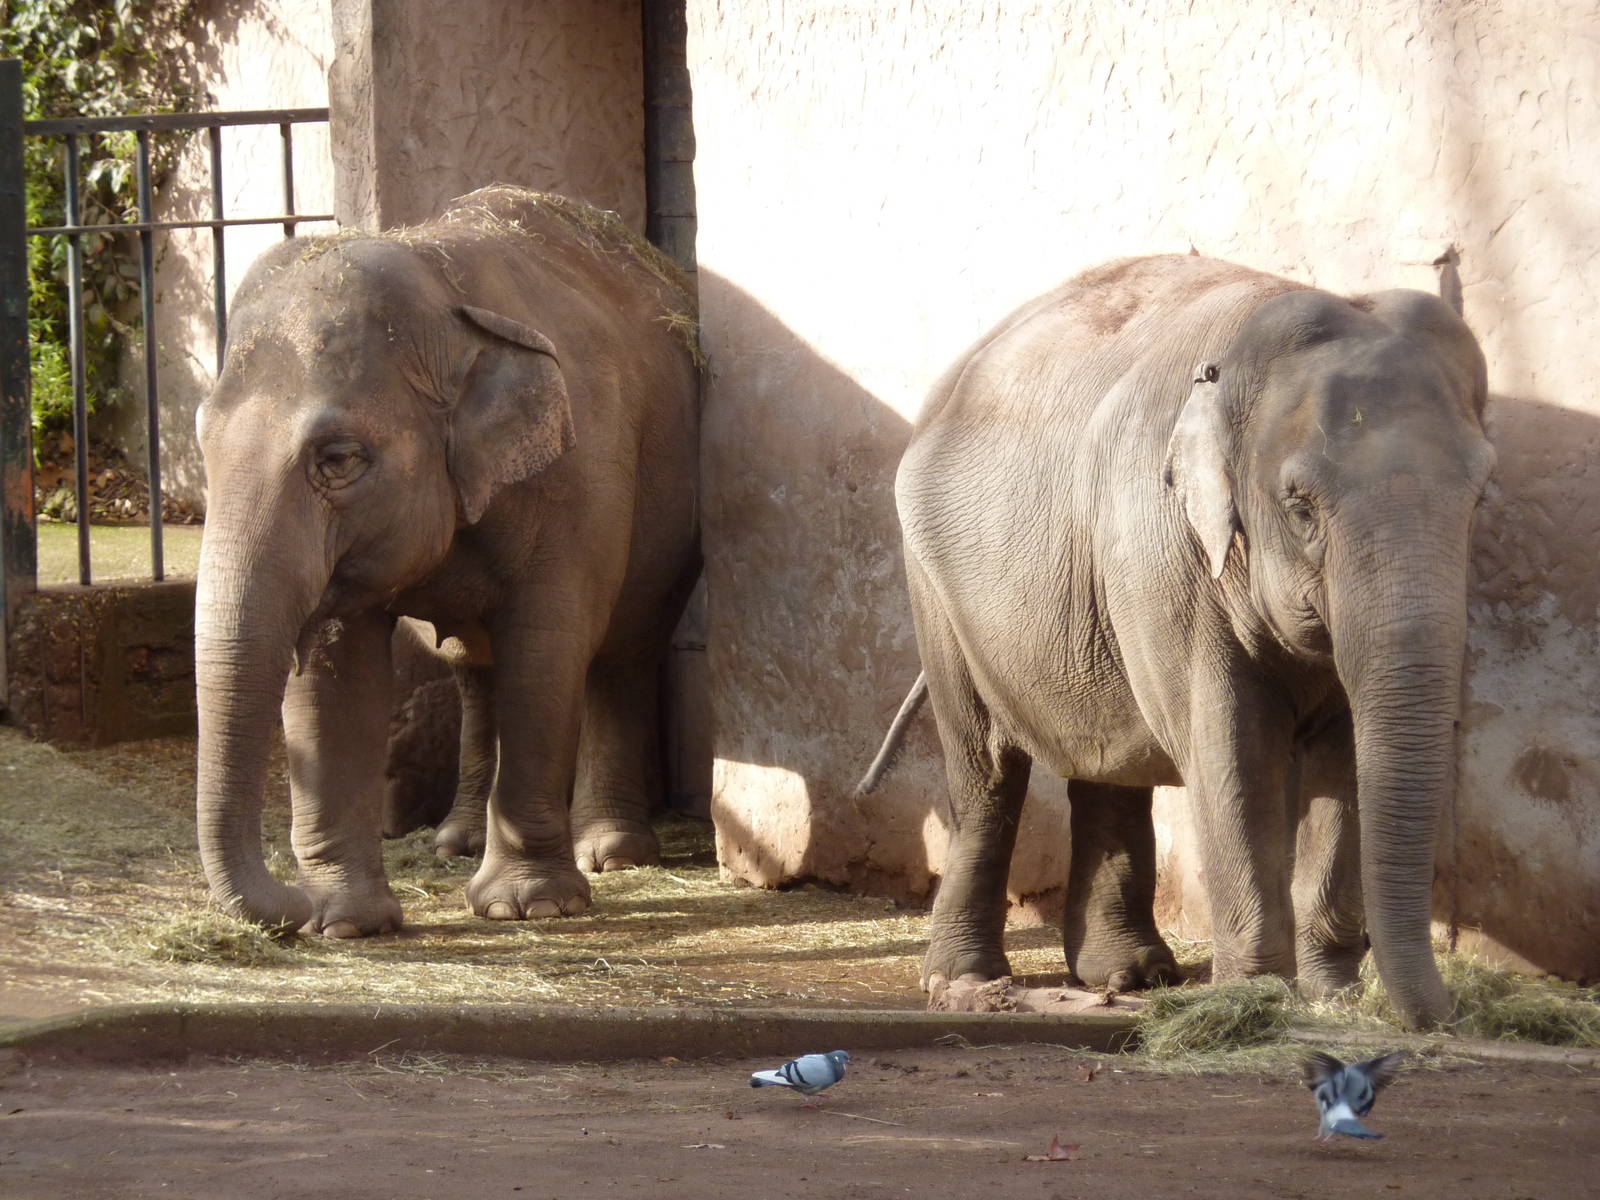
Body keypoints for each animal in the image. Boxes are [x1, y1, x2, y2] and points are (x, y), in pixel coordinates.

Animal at [194, 185, 701, 936]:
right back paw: (455, 842)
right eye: (201, 440)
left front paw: (530, 907)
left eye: (337, 459)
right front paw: (345, 922)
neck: (443, 299)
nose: (289, 906)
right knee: (474, 667)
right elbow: (336, 678)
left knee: (621, 657)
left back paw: (611, 853)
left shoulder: (578, 480)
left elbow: (546, 655)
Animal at [860, 254, 1492, 1029]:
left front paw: (1332, 1000)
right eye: (1300, 508)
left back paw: (1129, 974)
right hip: (934, 584)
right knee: (985, 767)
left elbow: (1344, 758)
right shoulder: (1167, 557)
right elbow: (1233, 749)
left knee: (1104, 757)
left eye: (1479, 497)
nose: (1447, 1017)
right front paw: (1260, 999)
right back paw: (969, 982)